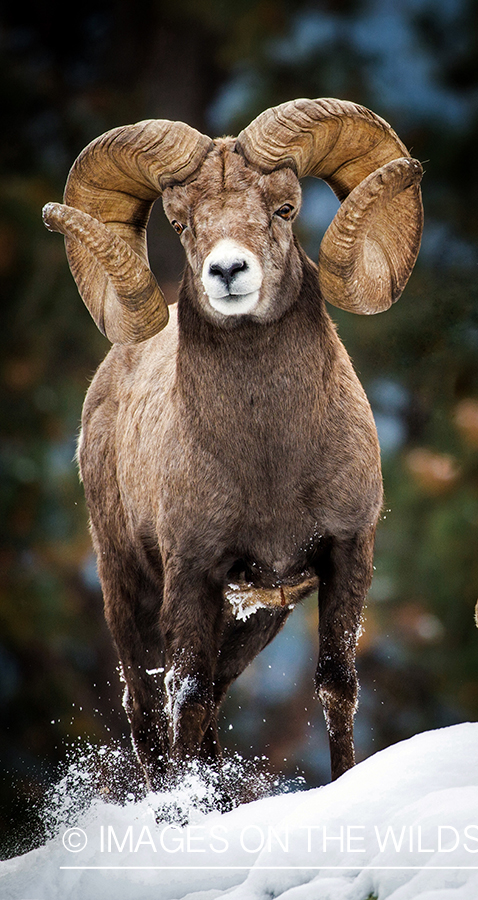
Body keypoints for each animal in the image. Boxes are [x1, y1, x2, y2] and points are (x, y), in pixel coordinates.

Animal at [42, 97, 423, 790]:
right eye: (181, 222)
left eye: (285, 208)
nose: (226, 271)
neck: (269, 464)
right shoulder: (193, 572)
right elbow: (186, 698)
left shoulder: (345, 555)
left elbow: (337, 686)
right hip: (126, 586)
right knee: (150, 712)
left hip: (254, 619)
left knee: (214, 701)